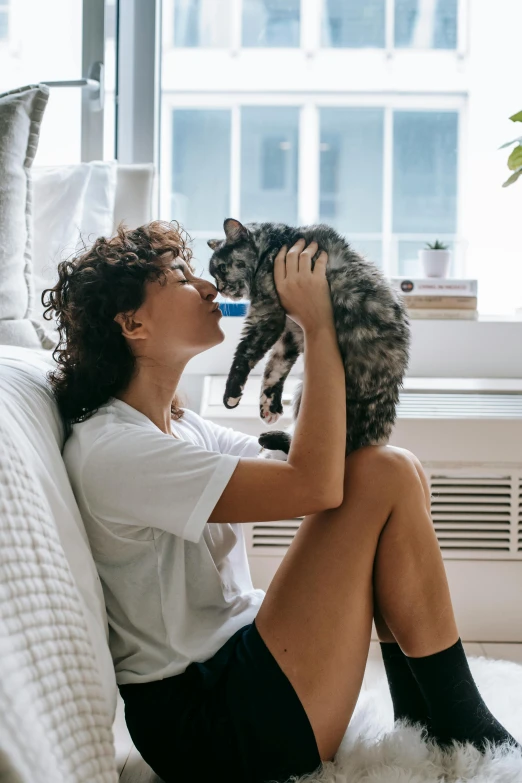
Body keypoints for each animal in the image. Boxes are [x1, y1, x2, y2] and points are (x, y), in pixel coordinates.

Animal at [205, 217, 408, 456]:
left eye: (222, 267)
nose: (220, 288)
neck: (274, 244)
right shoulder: (290, 333)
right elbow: (275, 369)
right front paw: (269, 406)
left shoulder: (268, 316)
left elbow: (245, 354)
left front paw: (232, 394)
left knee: (343, 445)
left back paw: (272, 438)